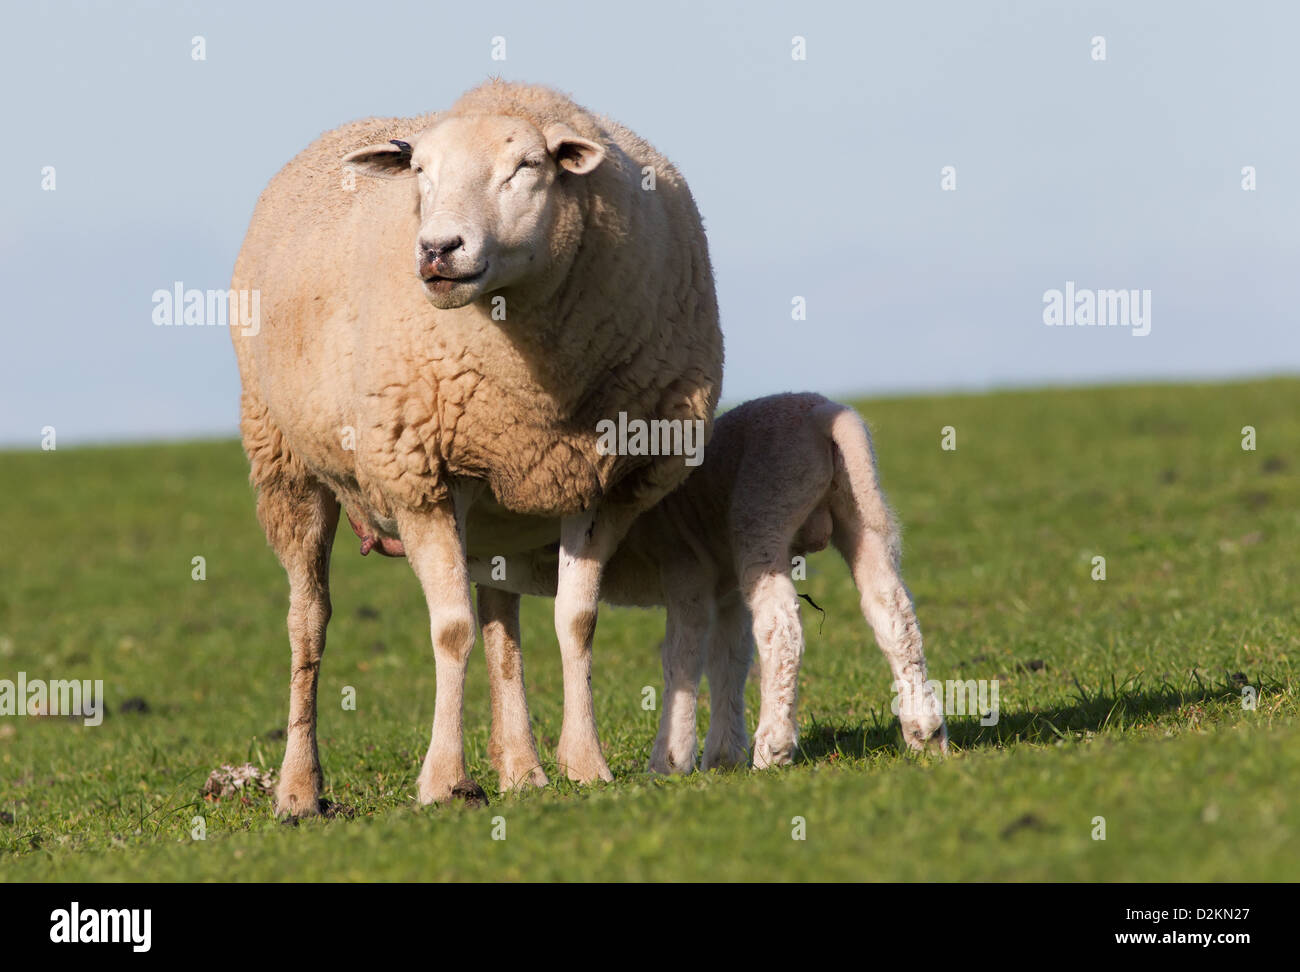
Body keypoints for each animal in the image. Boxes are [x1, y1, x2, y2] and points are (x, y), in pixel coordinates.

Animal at [230, 81, 723, 815]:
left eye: (525, 168)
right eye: (419, 172)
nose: (438, 249)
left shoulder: (599, 481)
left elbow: (575, 620)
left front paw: (584, 763)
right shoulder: (423, 478)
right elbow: (451, 629)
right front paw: (441, 780)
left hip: (499, 506)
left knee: (501, 621)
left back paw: (521, 768)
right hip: (283, 459)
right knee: (308, 620)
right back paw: (297, 789)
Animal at [465, 393, 947, 782]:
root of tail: (826, 417)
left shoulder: (686, 569)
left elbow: (682, 657)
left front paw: (670, 760)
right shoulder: (722, 585)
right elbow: (728, 658)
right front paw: (721, 755)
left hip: (763, 508)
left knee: (780, 625)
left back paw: (773, 747)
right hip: (857, 507)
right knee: (891, 608)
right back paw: (925, 731)